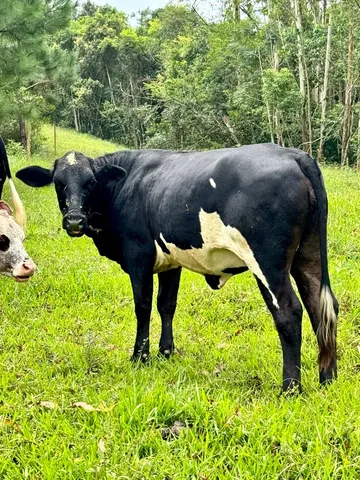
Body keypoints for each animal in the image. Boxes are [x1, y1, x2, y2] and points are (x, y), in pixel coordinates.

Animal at [16, 144, 338, 392]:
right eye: (58, 183)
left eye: (91, 182)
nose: (74, 221)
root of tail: (295, 155)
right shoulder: (171, 262)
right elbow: (166, 305)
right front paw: (165, 352)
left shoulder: (139, 256)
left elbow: (143, 306)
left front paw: (140, 356)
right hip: (308, 255)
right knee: (321, 305)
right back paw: (328, 379)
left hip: (267, 260)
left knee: (289, 312)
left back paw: (291, 388)